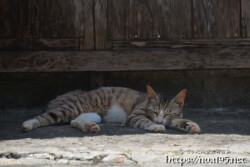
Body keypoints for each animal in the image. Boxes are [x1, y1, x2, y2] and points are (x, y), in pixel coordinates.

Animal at [22, 85, 200, 134]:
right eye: (155, 111)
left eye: (168, 112)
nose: (159, 119)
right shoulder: (135, 115)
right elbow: (143, 120)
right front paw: (155, 126)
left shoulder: (172, 117)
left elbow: (178, 121)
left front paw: (189, 125)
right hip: (72, 107)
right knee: (45, 116)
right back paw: (28, 124)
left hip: (94, 114)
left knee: (74, 121)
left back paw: (89, 127)